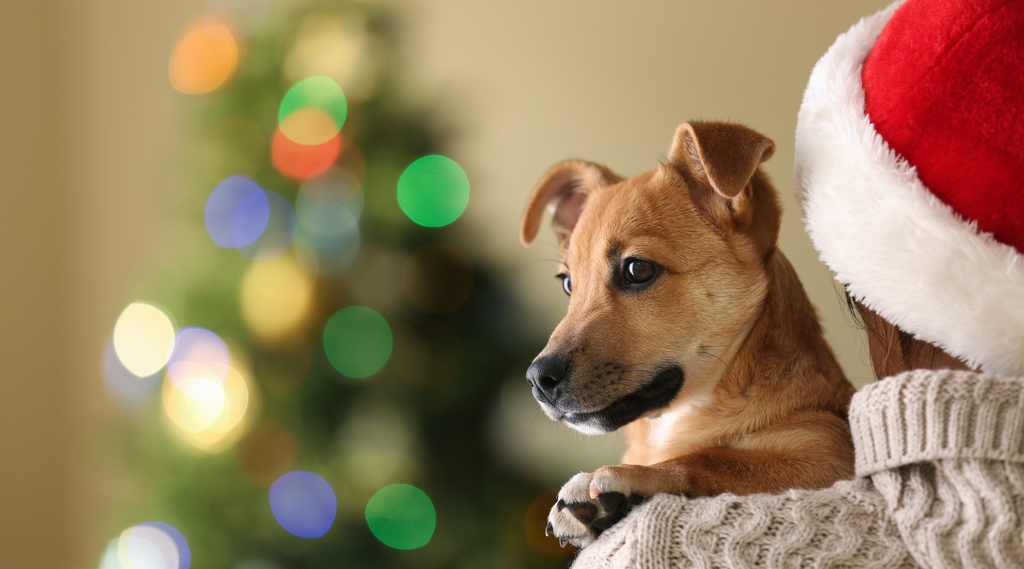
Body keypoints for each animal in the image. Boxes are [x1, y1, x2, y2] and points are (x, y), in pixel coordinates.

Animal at [520, 121, 856, 548]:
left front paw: (626, 479)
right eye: (567, 284)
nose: (537, 379)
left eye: (638, 269)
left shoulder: (829, 451)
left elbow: (717, 459)